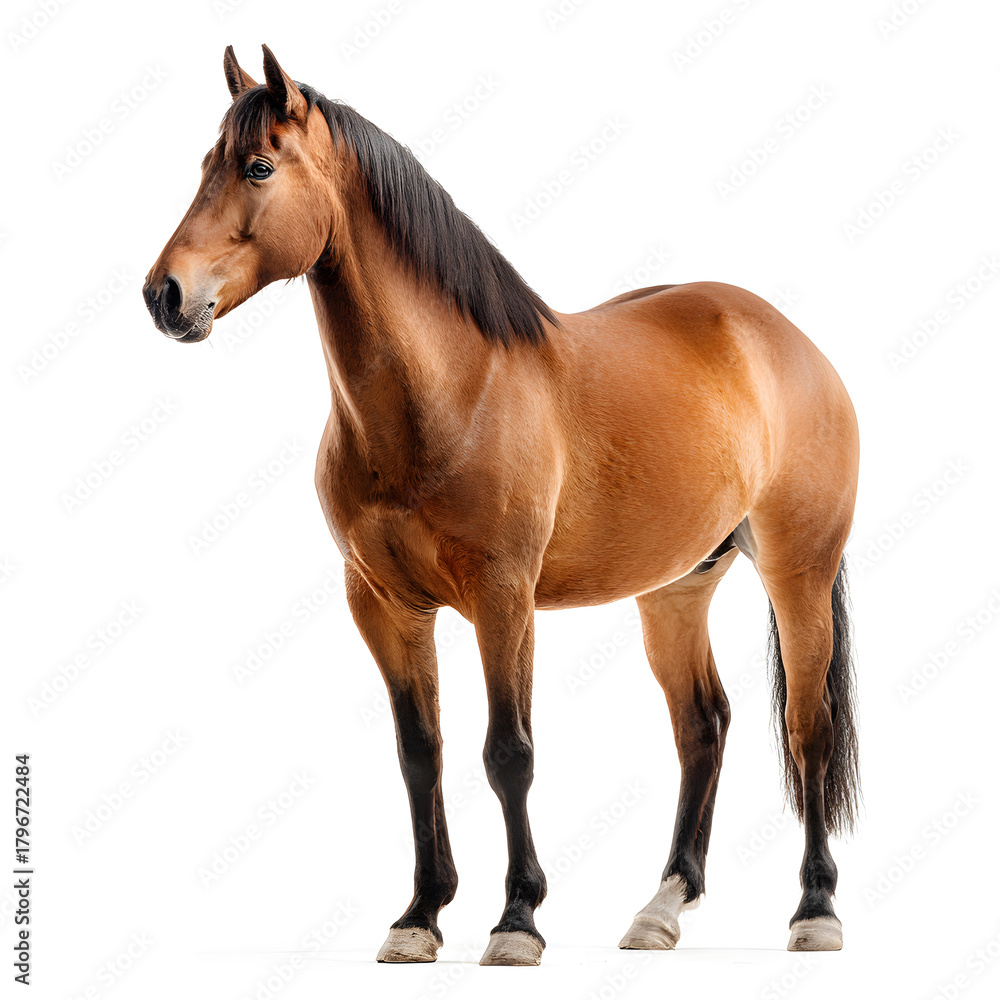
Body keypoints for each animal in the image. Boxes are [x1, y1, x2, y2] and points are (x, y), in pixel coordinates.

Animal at [143, 45, 860, 966]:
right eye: (207, 164)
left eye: (259, 167)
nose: (165, 296)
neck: (451, 390)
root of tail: (785, 339)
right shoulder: (384, 605)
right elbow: (422, 754)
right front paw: (419, 915)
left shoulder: (503, 597)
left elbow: (507, 753)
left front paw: (517, 919)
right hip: (675, 590)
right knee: (703, 726)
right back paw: (660, 909)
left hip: (799, 574)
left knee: (809, 728)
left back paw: (815, 909)